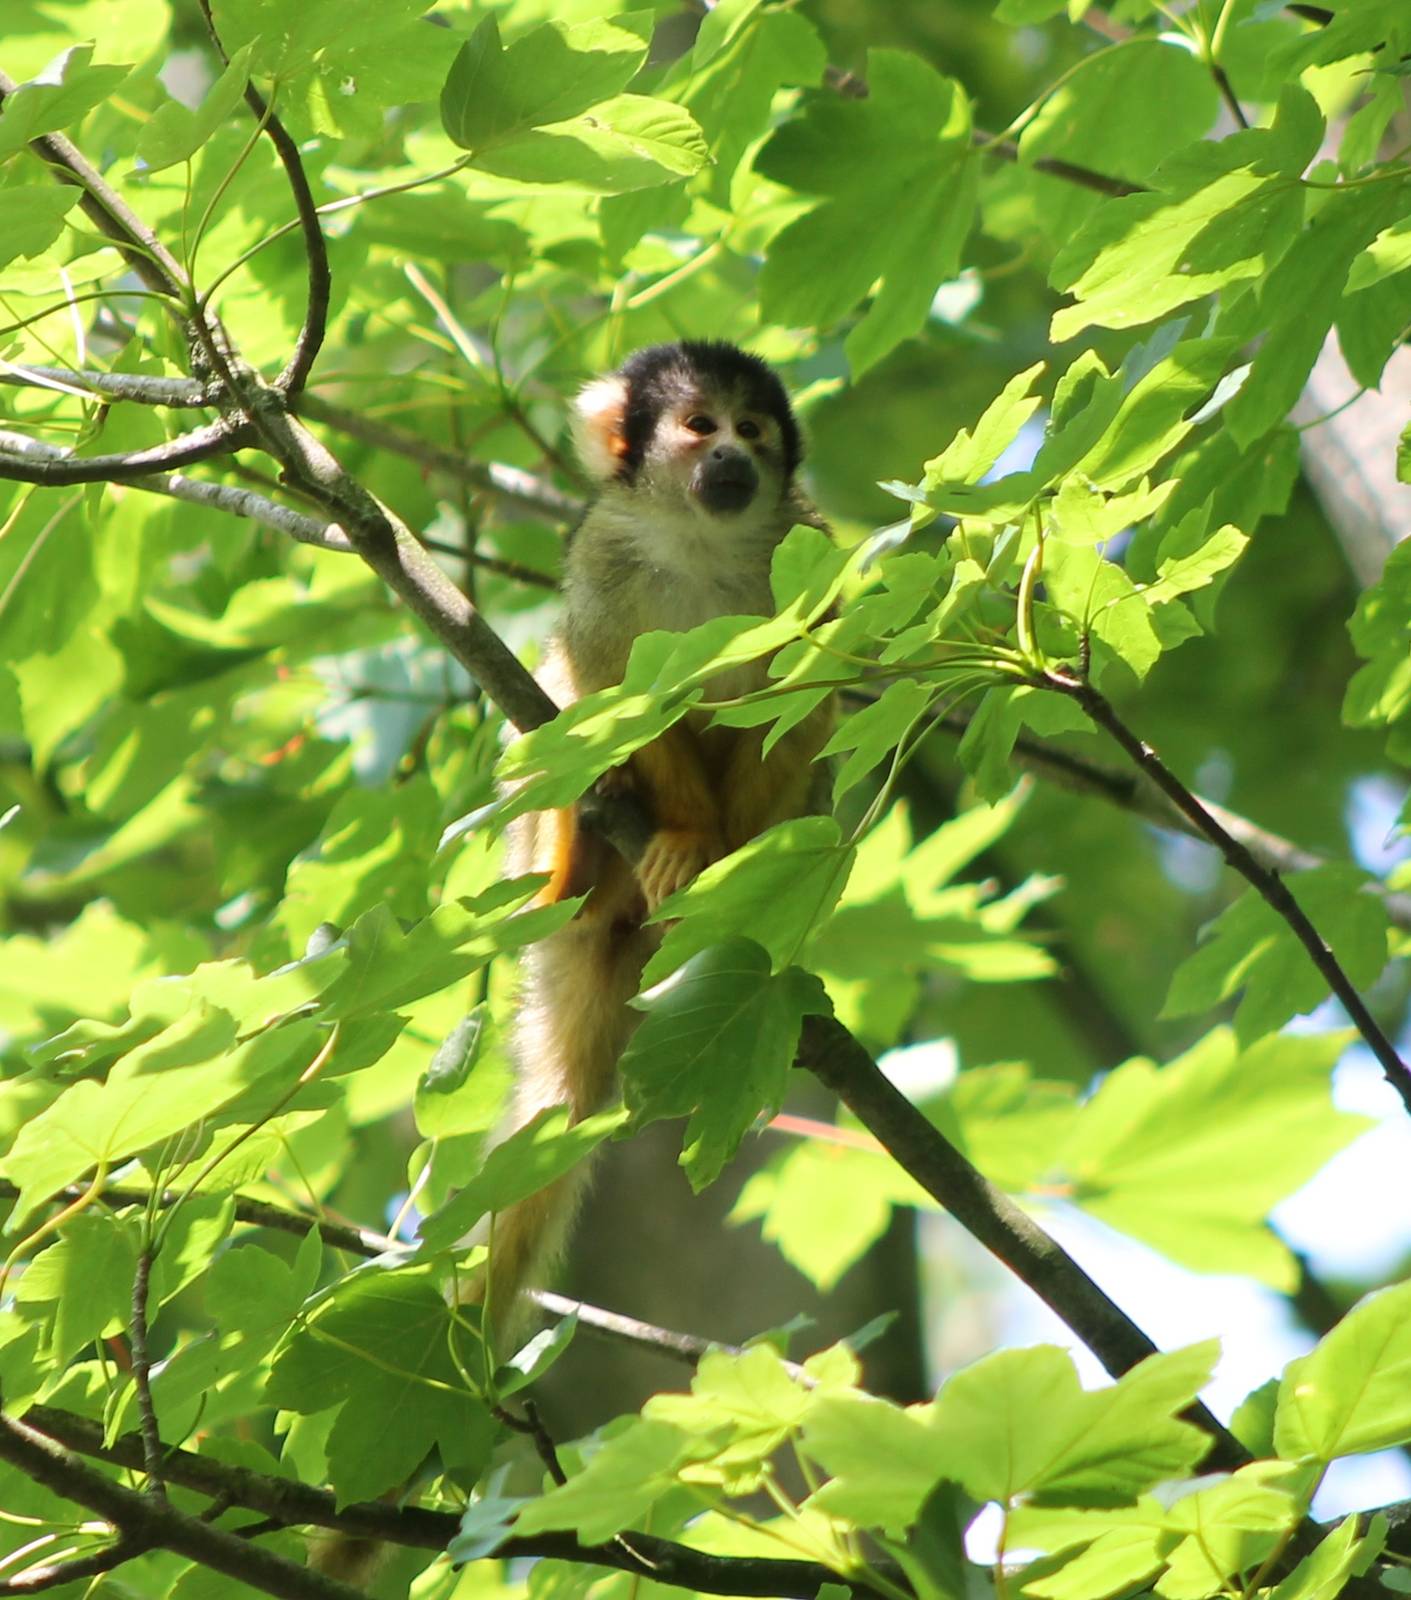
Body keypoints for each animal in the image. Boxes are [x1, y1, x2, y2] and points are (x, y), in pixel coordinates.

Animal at [479, 340, 834, 1336]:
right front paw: (685, 834)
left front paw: (734, 859)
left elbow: (797, 709)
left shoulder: (804, 546)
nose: (734, 457)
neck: (698, 539)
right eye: (698, 425)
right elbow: (618, 685)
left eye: (751, 429)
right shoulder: (604, 555)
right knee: (562, 696)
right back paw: (576, 855)